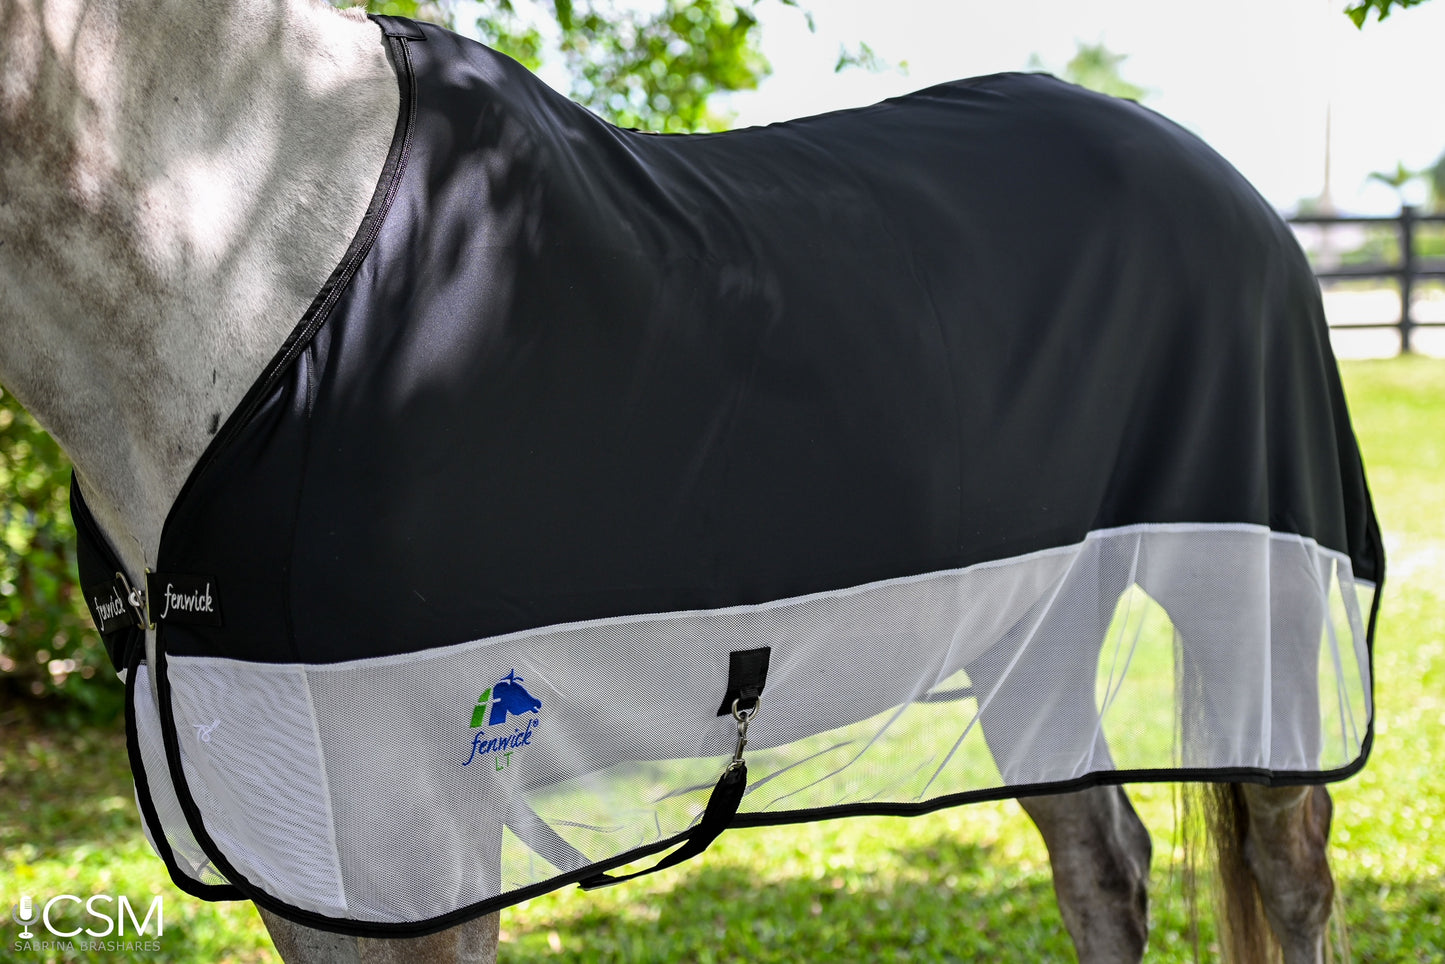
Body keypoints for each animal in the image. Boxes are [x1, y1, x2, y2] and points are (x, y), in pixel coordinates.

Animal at [0, 2, 1379, 962]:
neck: (251, 251)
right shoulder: (293, 813)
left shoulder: (417, 821)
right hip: (1027, 623)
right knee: (1103, 858)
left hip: (1245, 586)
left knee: (1289, 863)